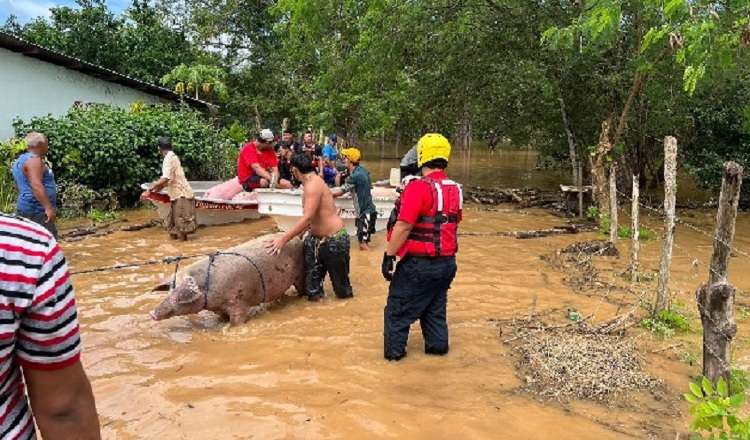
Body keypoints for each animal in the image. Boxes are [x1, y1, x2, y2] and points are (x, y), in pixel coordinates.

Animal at [151, 234, 306, 326]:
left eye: (177, 298)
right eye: (168, 292)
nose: (152, 313)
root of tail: (298, 240)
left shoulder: (238, 301)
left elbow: (236, 322)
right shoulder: (219, 308)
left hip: (300, 272)